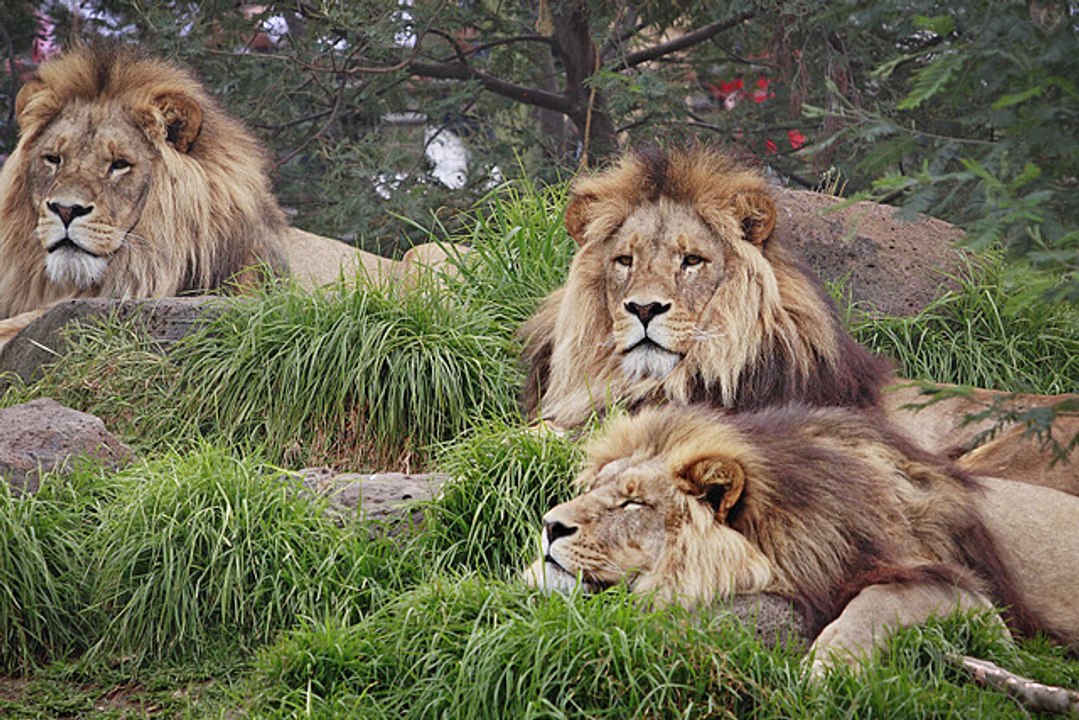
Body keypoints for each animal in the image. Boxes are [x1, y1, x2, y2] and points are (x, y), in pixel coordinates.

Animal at [523, 404, 1079, 674]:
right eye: (593, 489)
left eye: (633, 504)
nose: (550, 525)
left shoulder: (972, 596)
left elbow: (878, 599)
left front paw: (827, 669)